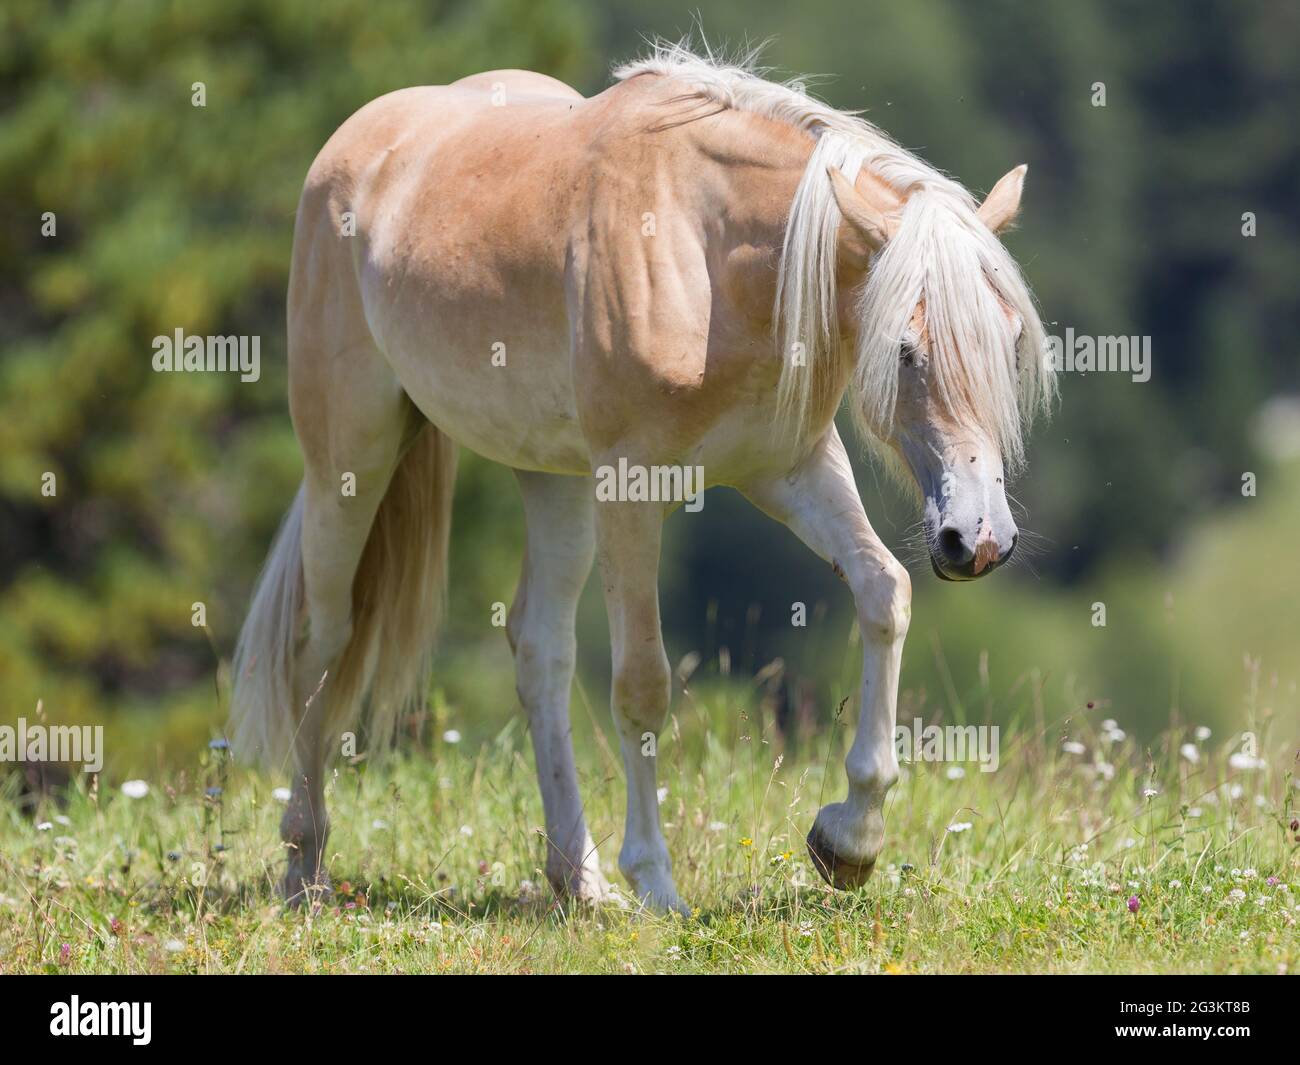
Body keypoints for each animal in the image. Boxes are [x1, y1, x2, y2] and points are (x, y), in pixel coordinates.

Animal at [228, 43, 1050, 915]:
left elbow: (883, 592)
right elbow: (643, 685)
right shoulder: (631, 488)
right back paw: (305, 865)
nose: (977, 537)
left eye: (1010, 339)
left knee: (539, 649)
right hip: (349, 460)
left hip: (553, 480)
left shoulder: (788, 469)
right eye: (905, 348)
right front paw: (656, 880)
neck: (708, 251)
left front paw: (849, 838)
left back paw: (578, 881)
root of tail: (357, 143)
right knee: (325, 638)